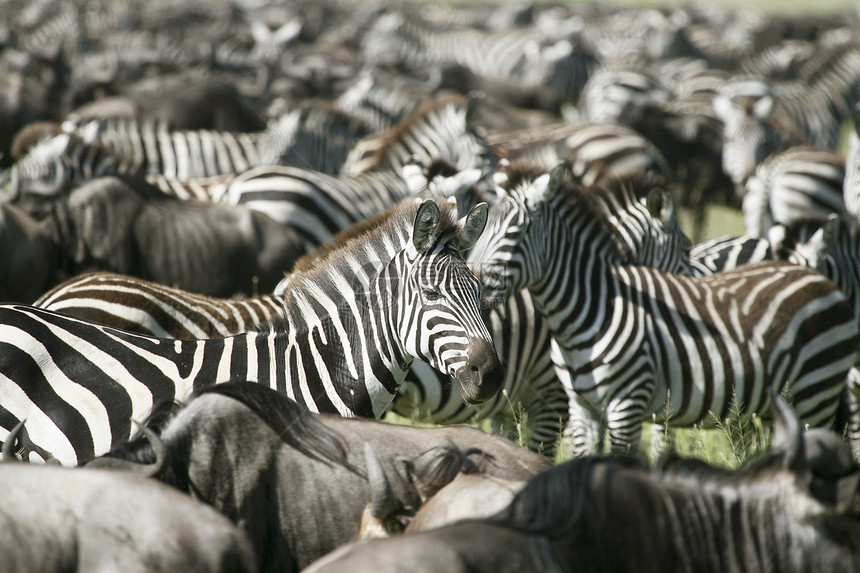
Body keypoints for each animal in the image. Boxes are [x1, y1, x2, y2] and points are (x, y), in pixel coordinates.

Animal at [466, 162, 860, 456]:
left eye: (514, 235)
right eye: (484, 230)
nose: (474, 285)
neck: (586, 312)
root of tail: (816, 276)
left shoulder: (625, 406)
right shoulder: (583, 409)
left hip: (814, 390)